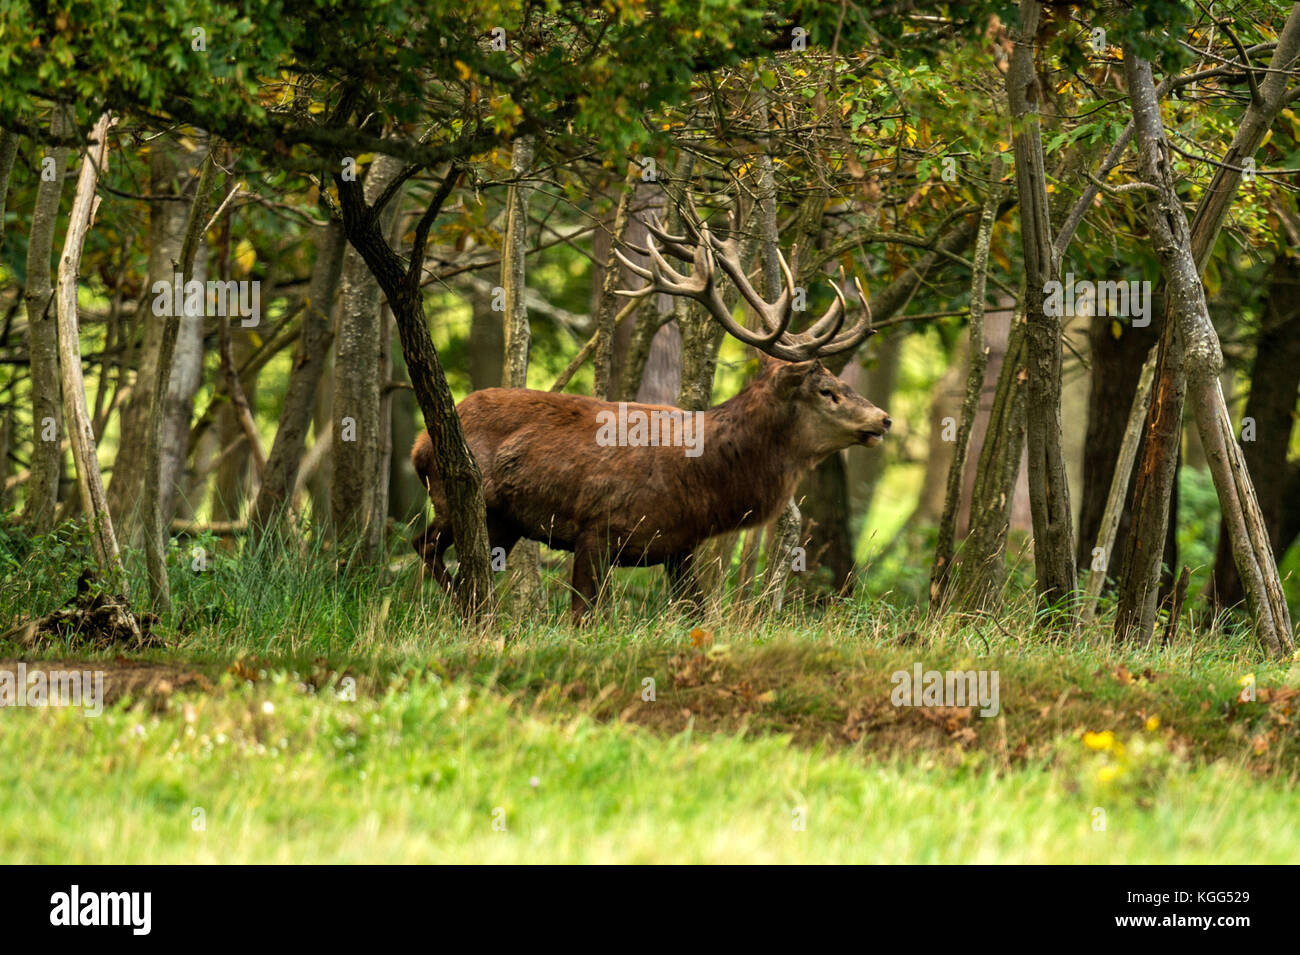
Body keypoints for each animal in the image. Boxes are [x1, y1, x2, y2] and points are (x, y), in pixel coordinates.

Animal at [410, 202, 889, 623]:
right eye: (827, 390)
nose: (883, 418)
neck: (697, 481)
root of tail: (419, 445)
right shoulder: (595, 529)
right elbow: (582, 616)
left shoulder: (679, 547)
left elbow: (696, 613)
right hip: (457, 496)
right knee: (425, 546)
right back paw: (470, 610)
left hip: (504, 522)